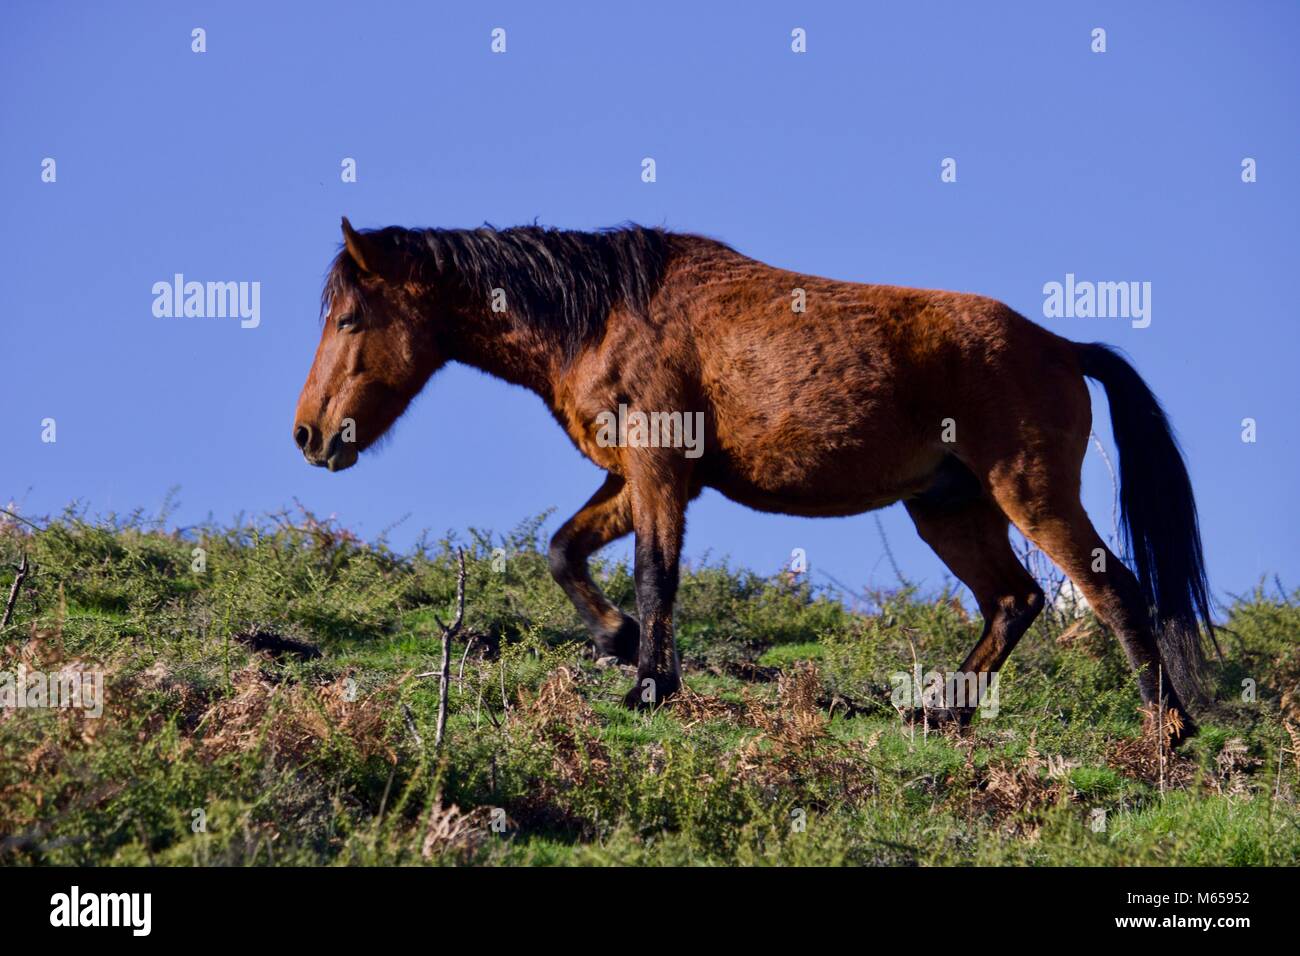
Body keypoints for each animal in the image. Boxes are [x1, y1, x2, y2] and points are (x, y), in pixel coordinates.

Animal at [289, 218, 1211, 738]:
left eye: (351, 318)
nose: (308, 435)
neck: (602, 313)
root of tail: (1063, 347)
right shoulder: (638, 478)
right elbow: (563, 550)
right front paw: (620, 643)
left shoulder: (660, 472)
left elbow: (655, 573)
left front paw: (649, 685)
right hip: (948, 507)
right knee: (1014, 600)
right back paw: (942, 712)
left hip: (1032, 494)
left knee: (1114, 590)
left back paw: (1168, 730)